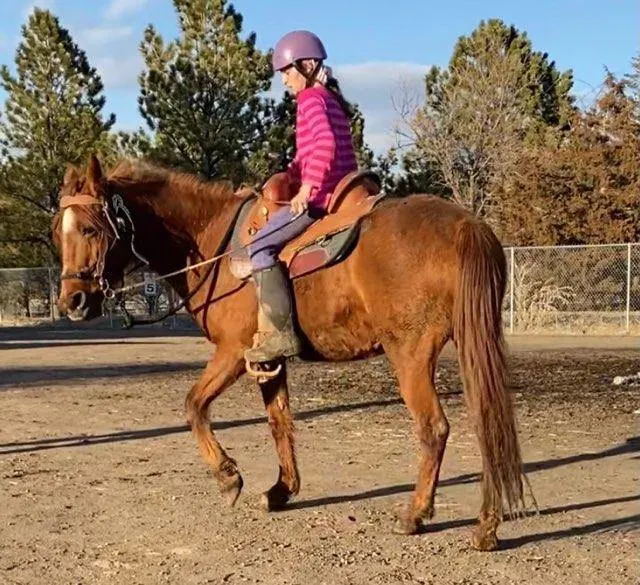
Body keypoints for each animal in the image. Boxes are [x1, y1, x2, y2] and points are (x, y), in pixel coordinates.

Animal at [53, 154, 525, 551]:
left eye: (91, 228)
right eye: (59, 232)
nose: (72, 301)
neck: (215, 242)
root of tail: (465, 225)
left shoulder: (233, 353)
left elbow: (194, 406)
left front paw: (228, 478)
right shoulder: (267, 360)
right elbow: (279, 421)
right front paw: (282, 490)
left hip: (410, 356)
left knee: (434, 429)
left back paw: (416, 515)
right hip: (470, 345)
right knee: (487, 422)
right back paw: (486, 525)